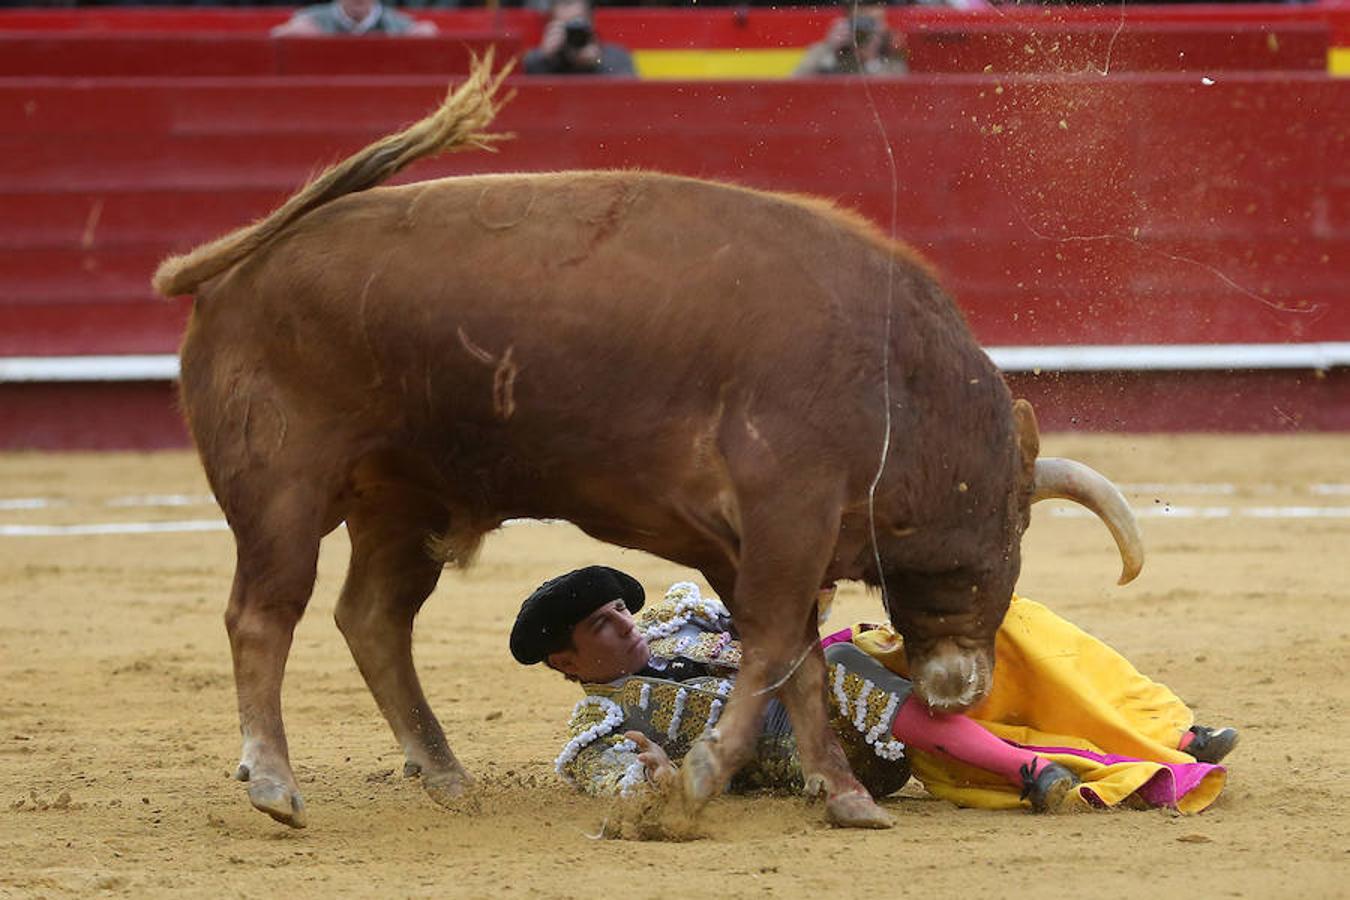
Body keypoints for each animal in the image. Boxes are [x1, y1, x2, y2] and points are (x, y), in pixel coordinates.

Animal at [153, 61, 1139, 831]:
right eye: (1008, 540)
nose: (958, 691)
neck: (899, 380)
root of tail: (239, 265)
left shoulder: (754, 544)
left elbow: (799, 663)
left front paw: (845, 795)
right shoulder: (788, 510)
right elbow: (776, 650)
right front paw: (698, 783)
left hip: (400, 498)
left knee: (372, 619)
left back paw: (444, 776)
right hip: (281, 488)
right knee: (265, 614)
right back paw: (275, 783)